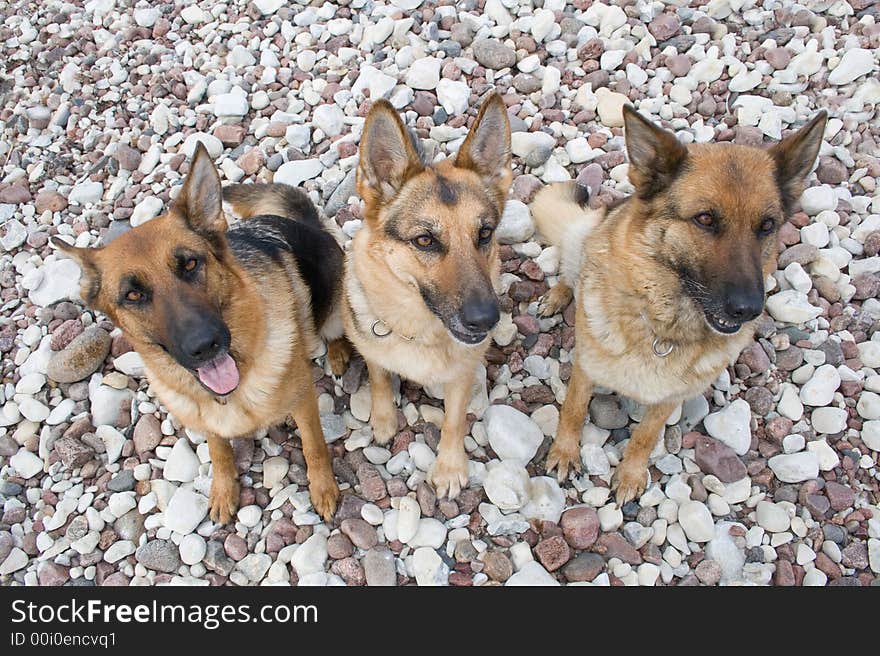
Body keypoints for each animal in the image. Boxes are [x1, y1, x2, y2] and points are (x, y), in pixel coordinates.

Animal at [52, 142, 350, 524]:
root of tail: (306, 224)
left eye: (191, 264)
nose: (204, 346)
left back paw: (337, 354)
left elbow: (314, 447)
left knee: (334, 333)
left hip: (332, 314)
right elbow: (219, 450)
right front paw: (224, 490)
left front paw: (323, 489)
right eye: (133, 295)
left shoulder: (304, 402)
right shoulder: (205, 417)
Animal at [342, 93, 512, 498]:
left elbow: (454, 421)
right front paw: (384, 419)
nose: (486, 320)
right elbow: (378, 378)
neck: (420, 330)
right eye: (424, 240)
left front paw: (449, 468)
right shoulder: (372, 352)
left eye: (484, 233)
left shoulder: (462, 376)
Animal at [532, 106, 828, 502]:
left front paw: (630, 475)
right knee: (570, 272)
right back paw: (557, 296)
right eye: (704, 219)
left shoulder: (669, 398)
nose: (748, 308)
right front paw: (565, 453)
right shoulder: (586, 369)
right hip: (581, 239)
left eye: (767, 226)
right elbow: (573, 411)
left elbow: (645, 436)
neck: (663, 325)